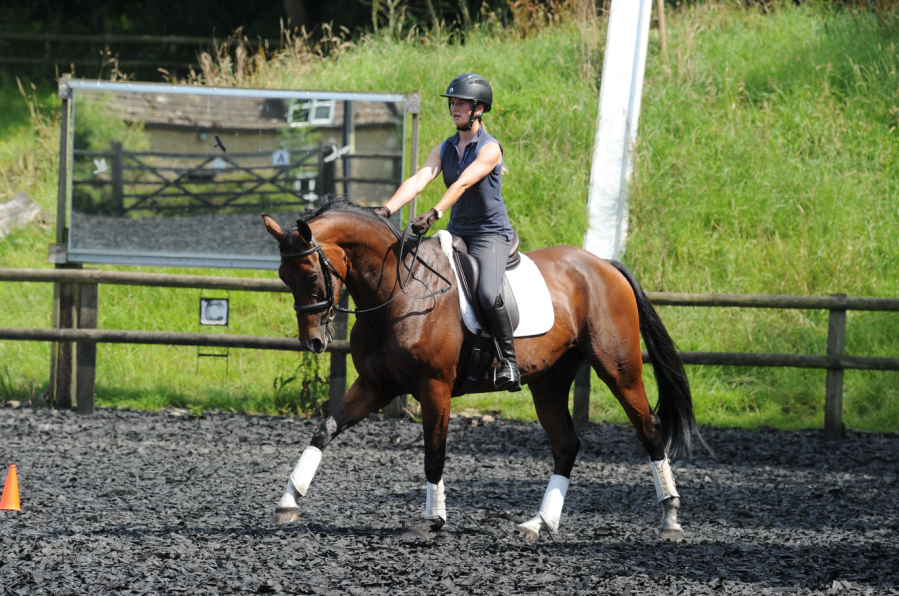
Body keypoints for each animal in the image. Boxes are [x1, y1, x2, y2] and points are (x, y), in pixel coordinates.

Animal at [264, 199, 700, 540]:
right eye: (284, 277)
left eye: (309, 275)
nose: (313, 343)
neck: (399, 291)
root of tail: (603, 265)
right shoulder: (376, 385)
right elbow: (325, 430)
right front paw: (288, 501)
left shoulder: (435, 387)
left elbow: (434, 454)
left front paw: (433, 520)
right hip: (550, 380)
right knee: (566, 445)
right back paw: (539, 523)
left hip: (618, 367)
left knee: (649, 429)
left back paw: (670, 518)